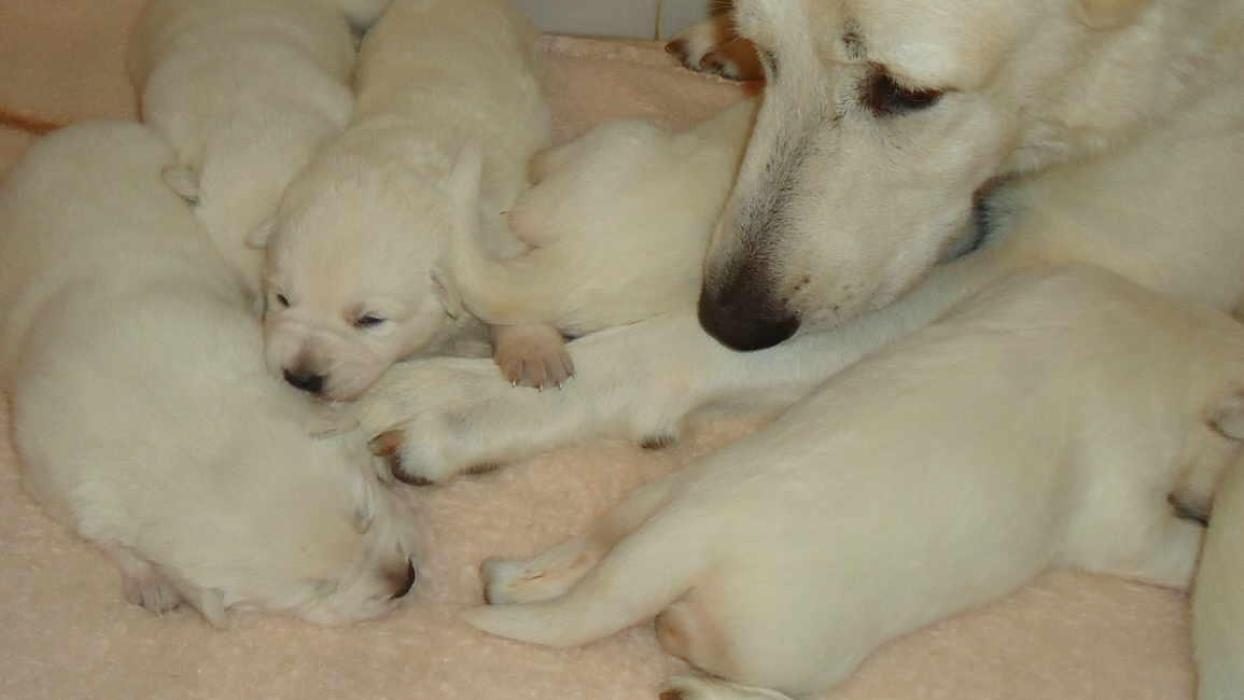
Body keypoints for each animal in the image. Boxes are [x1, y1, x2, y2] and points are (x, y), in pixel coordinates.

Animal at [0, 123, 420, 626]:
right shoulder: (63, 488)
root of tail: (54, 140)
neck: (178, 425)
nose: (405, 580)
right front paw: (150, 581)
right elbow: (110, 541)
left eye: (364, 516)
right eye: (320, 589)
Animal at [465, 266, 1244, 696]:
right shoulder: (1125, 511)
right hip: (793, 652)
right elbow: (1175, 552)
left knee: (584, 555)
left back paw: (513, 578)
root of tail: (689, 536)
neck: (1181, 339)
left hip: (649, 505)